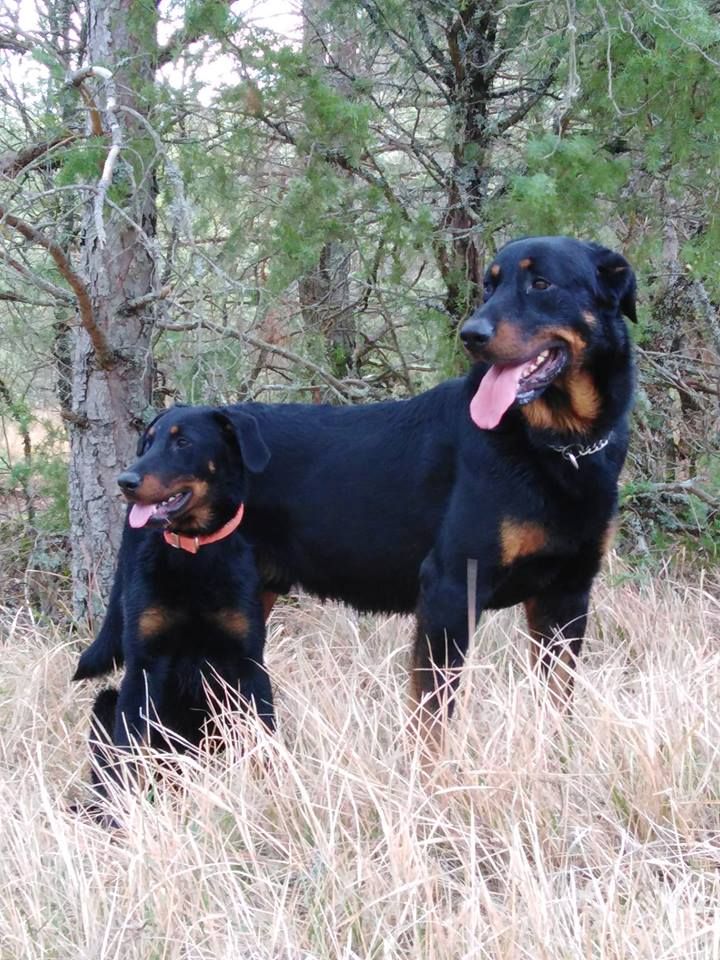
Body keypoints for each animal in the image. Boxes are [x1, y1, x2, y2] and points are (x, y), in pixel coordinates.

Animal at [74, 238, 636, 728]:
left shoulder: (566, 594)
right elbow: (432, 719)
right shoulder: (451, 589)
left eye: (541, 283)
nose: (471, 334)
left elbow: (558, 704)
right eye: (488, 287)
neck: (554, 445)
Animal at [74, 408, 274, 792]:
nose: (125, 482)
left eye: (183, 442)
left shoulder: (248, 662)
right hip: (106, 702)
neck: (192, 554)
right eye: (148, 442)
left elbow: (265, 739)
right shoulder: (144, 664)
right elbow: (129, 752)